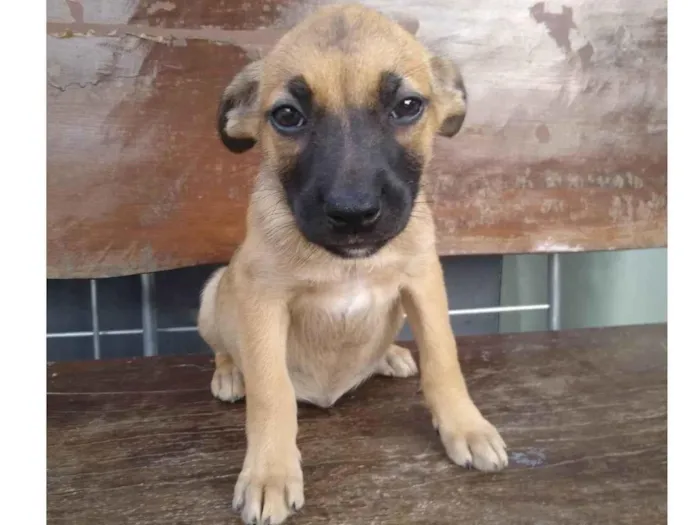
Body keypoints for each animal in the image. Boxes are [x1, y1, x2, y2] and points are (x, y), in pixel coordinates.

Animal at [197, 3, 508, 520]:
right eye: (287, 115)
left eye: (407, 106)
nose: (354, 213)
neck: (348, 263)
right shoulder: (262, 300)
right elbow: (271, 392)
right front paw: (269, 474)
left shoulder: (423, 280)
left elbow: (443, 357)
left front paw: (466, 427)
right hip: (214, 292)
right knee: (224, 347)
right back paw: (229, 373)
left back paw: (390, 355)